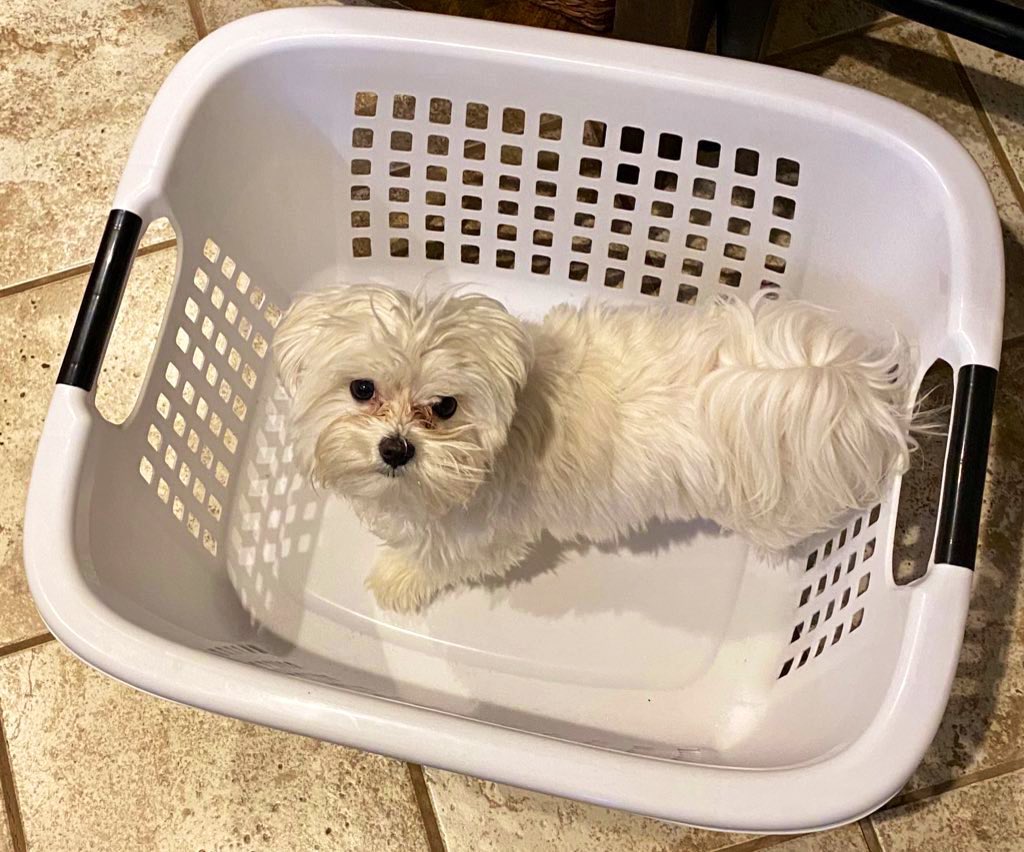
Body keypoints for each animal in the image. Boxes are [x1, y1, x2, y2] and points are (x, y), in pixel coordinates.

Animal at [272, 286, 913, 614]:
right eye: (362, 389)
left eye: (446, 406)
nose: (397, 448)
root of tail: (848, 386)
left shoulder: (484, 536)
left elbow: (435, 560)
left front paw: (397, 578)